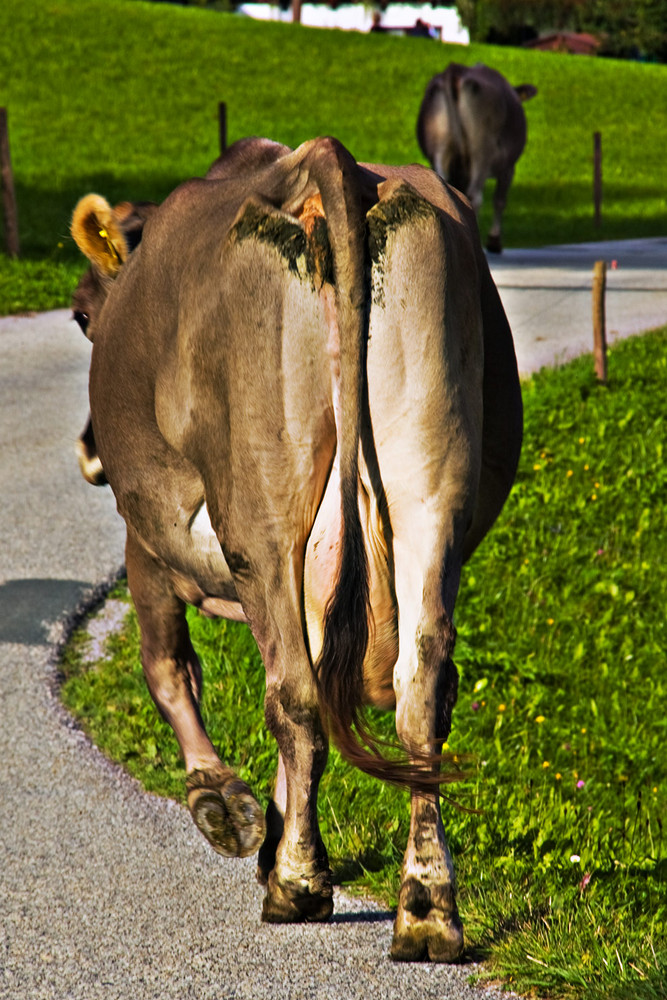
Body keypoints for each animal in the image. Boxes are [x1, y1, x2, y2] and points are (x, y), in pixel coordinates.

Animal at [70, 137, 524, 964]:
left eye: (83, 313)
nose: (89, 454)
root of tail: (325, 164)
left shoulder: (146, 541)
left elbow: (167, 668)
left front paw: (226, 808)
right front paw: (273, 830)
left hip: (263, 515)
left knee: (297, 699)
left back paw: (299, 885)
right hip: (427, 486)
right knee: (419, 690)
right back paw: (426, 909)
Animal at [418, 63, 536, 254]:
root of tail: (456, 70)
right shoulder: (509, 166)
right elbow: (499, 200)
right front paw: (494, 241)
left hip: (438, 147)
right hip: (482, 150)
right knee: (475, 196)